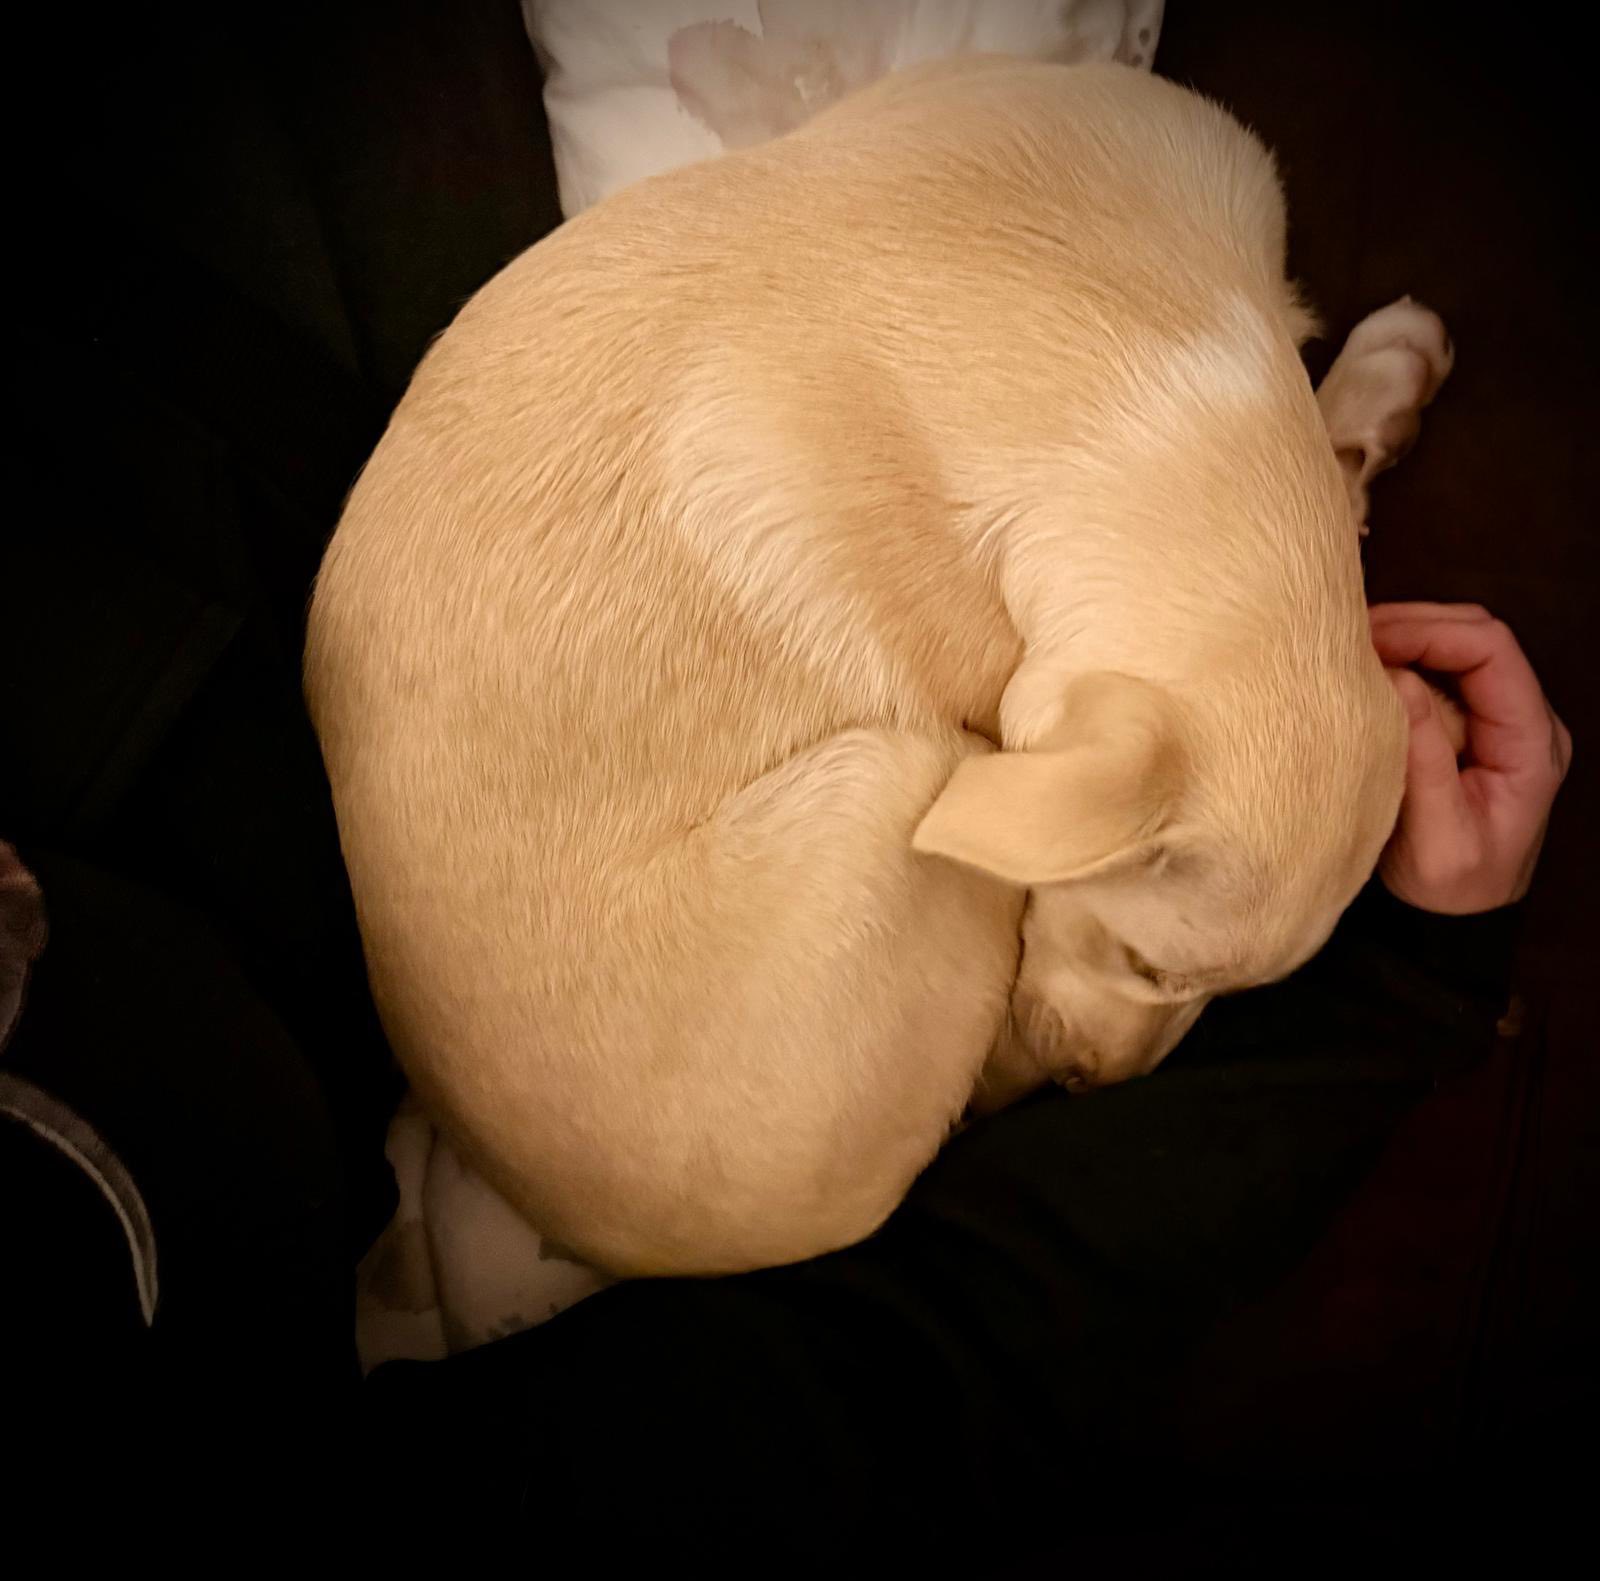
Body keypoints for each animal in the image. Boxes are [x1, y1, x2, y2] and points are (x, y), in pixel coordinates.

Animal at [306, 57, 1452, 1276]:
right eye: (1151, 969)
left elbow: (1327, 456)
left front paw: (1376, 388)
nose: (1085, 1082)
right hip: (900, 775)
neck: (1135, 361)